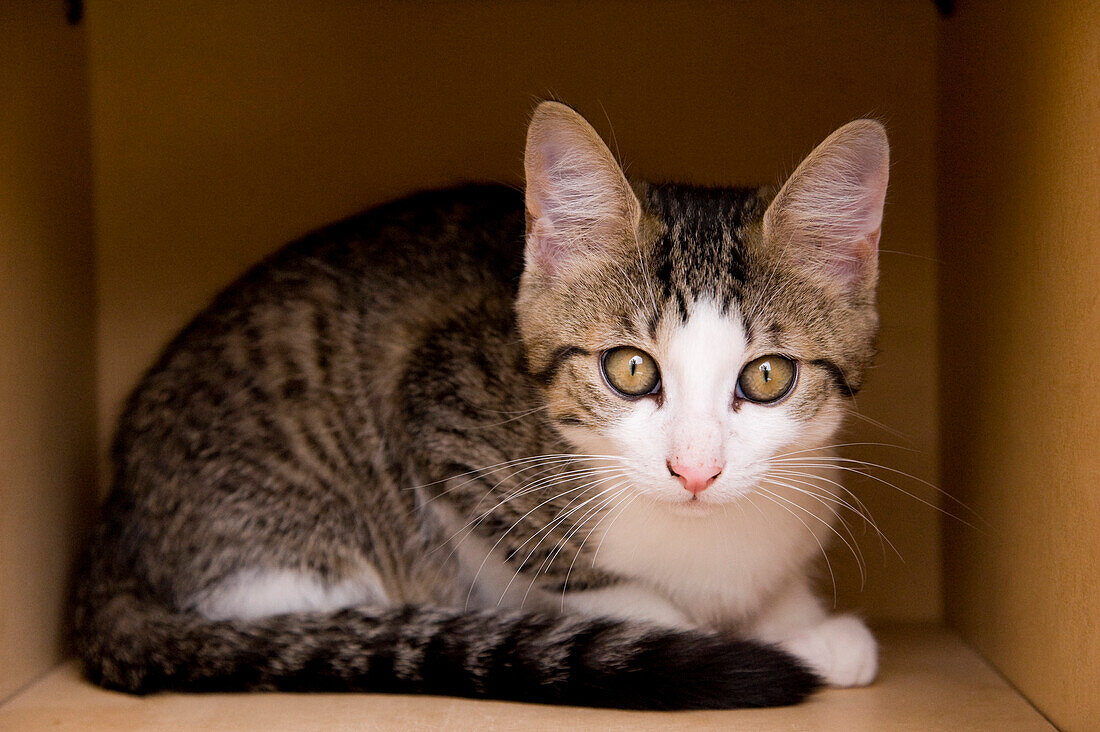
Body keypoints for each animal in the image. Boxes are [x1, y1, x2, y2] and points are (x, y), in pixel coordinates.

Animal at [73, 101, 888, 708]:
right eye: (629, 369)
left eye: (768, 378)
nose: (695, 471)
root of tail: (112, 526)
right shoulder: (441, 417)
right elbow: (588, 579)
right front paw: (708, 636)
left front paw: (802, 623)